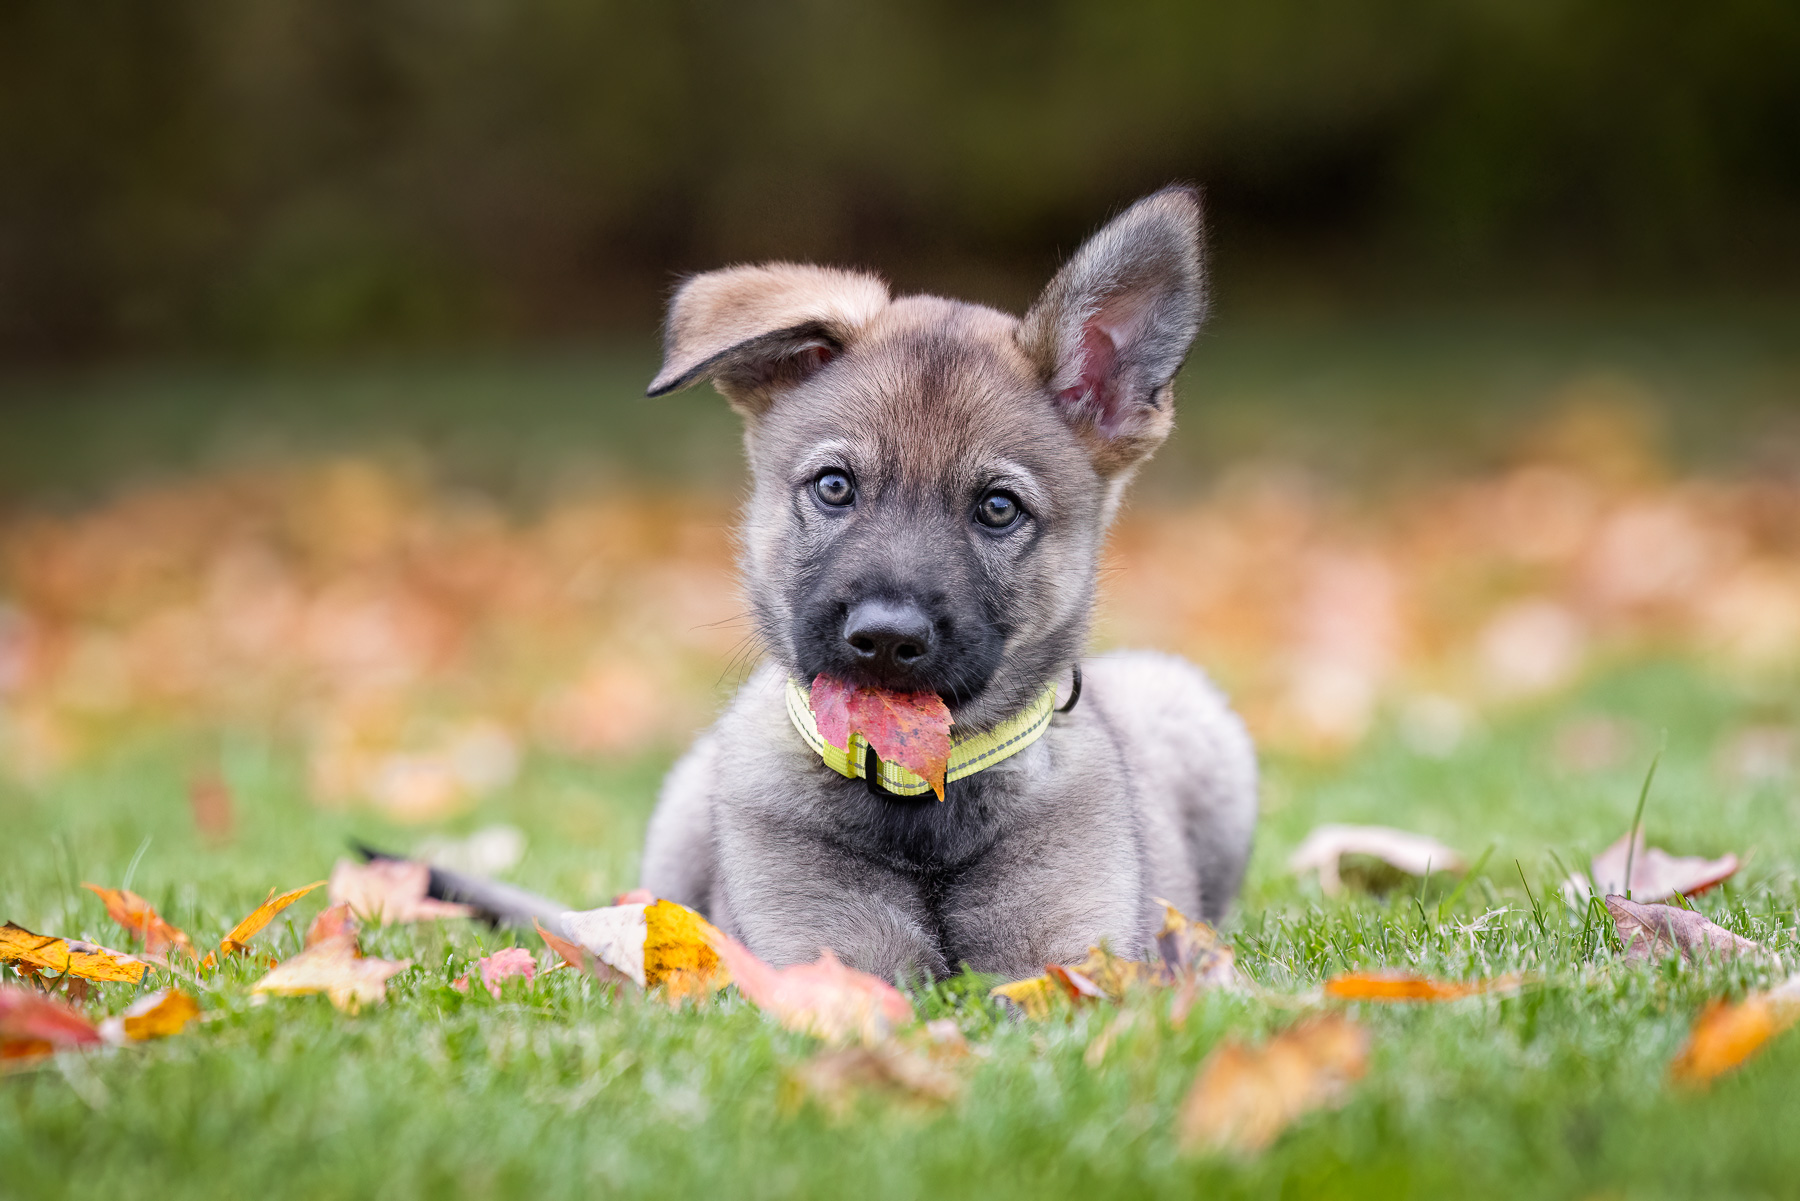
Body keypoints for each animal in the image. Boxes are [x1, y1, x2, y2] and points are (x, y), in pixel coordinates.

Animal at [644, 185, 1252, 979]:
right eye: (834, 486)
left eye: (997, 508)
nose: (883, 638)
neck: (919, 797)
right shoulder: (825, 960)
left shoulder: (1065, 962)